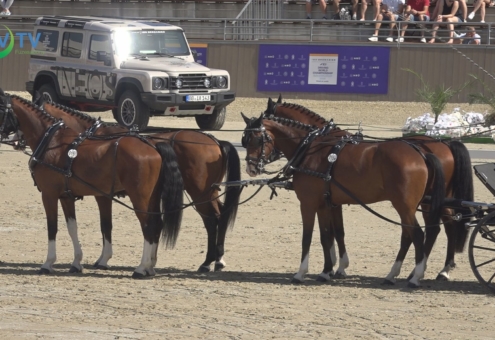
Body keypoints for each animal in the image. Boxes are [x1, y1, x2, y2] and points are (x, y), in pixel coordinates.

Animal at [0, 91, 184, 278]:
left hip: (139, 197)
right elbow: (73, 227)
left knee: (148, 225)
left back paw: (141, 267)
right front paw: (76, 262)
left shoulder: (49, 194)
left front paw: (48, 263)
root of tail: (153, 146)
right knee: (157, 224)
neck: (53, 143)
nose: (16, 142)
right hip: (152, 197)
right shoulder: (67, 196)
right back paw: (150, 267)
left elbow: (52, 227)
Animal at [38, 99, 240, 272]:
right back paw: (218, 259)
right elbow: (107, 225)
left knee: (211, 219)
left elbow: (106, 225)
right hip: (209, 192)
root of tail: (215, 141)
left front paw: (104, 259)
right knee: (220, 214)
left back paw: (207, 261)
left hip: (199, 193)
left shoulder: (101, 194)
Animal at [266, 94, 474, 282]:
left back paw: (422, 274)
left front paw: (325, 269)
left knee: (426, 231)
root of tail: (442, 144)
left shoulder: (313, 202)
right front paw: (336, 267)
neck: (317, 145)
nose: (258, 162)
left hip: (414, 204)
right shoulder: (332, 202)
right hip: (429, 202)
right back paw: (423, 271)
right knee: (435, 229)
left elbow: (320, 235)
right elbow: (336, 233)